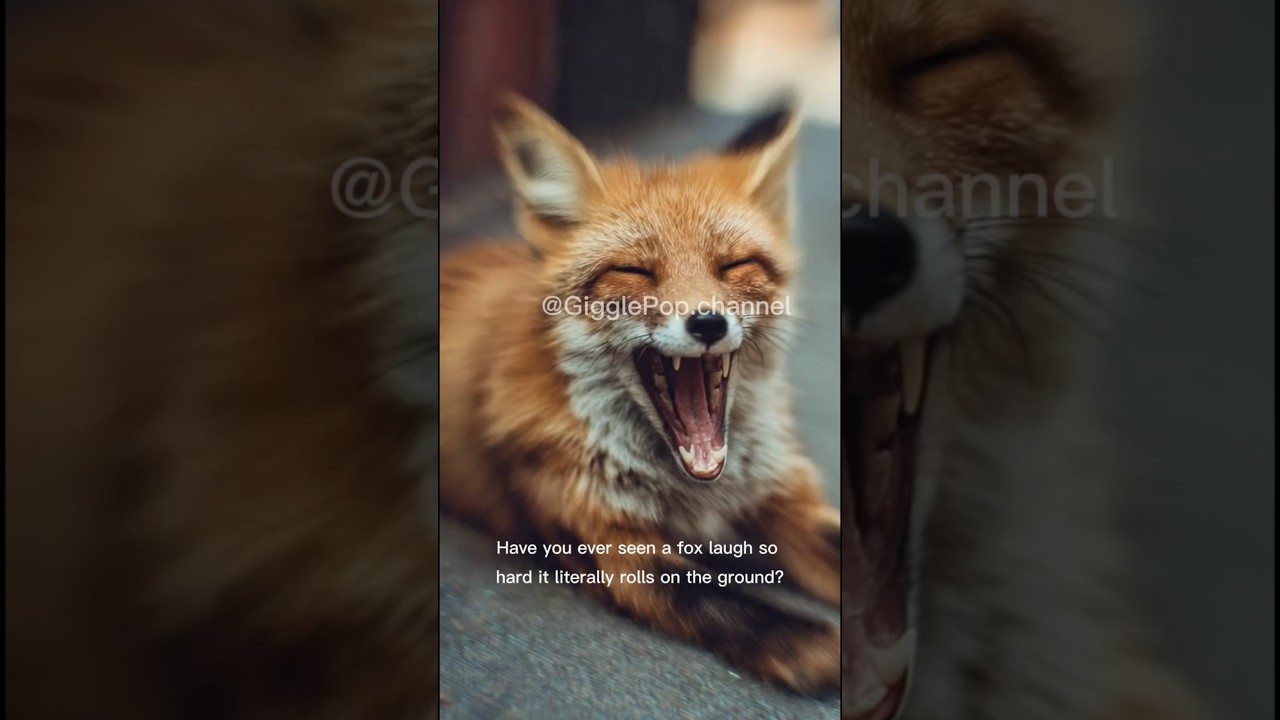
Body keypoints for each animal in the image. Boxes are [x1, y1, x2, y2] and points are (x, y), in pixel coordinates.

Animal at [439, 95, 844, 694]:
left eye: (734, 265)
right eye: (634, 271)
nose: (707, 323)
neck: (698, 492)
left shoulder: (780, 493)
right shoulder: (609, 537)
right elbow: (723, 603)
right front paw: (822, 647)